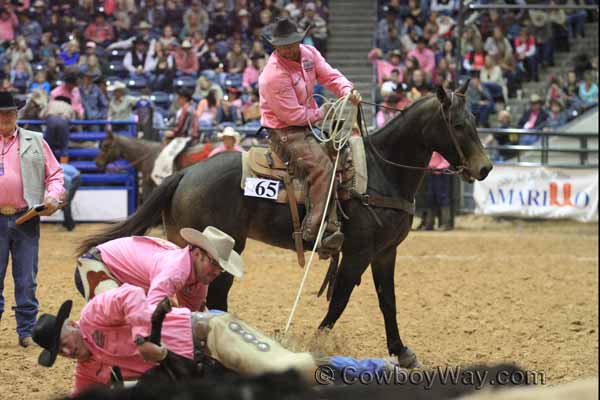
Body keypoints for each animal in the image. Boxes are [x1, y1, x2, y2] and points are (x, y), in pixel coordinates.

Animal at [79, 83, 492, 368]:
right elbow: (340, 300)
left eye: (475, 121)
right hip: (222, 249)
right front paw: (317, 346)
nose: (485, 167)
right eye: (457, 124)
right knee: (209, 297)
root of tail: (184, 173)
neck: (381, 172)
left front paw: (402, 352)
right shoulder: (357, 252)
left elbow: (387, 301)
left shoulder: (385, 253)